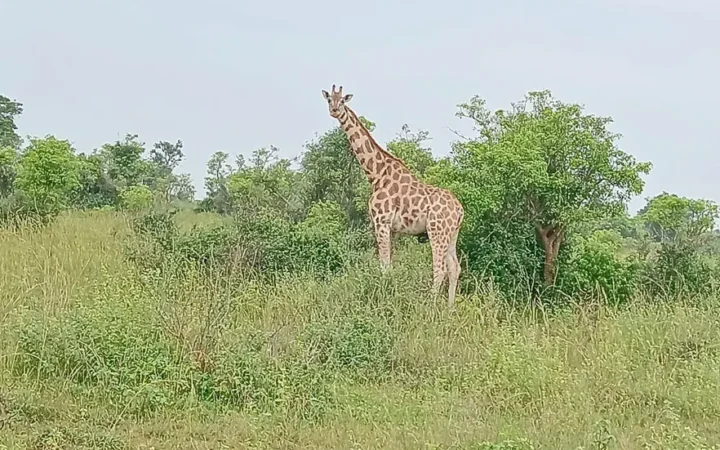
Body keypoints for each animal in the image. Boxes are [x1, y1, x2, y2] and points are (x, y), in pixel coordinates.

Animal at [321, 84, 464, 308]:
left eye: (343, 100)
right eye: (329, 100)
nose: (335, 110)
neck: (376, 174)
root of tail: (460, 210)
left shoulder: (381, 221)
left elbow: (384, 266)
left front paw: (384, 298)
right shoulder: (393, 229)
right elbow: (389, 264)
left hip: (436, 231)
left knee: (439, 269)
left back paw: (430, 307)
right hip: (452, 234)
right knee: (454, 267)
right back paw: (450, 309)